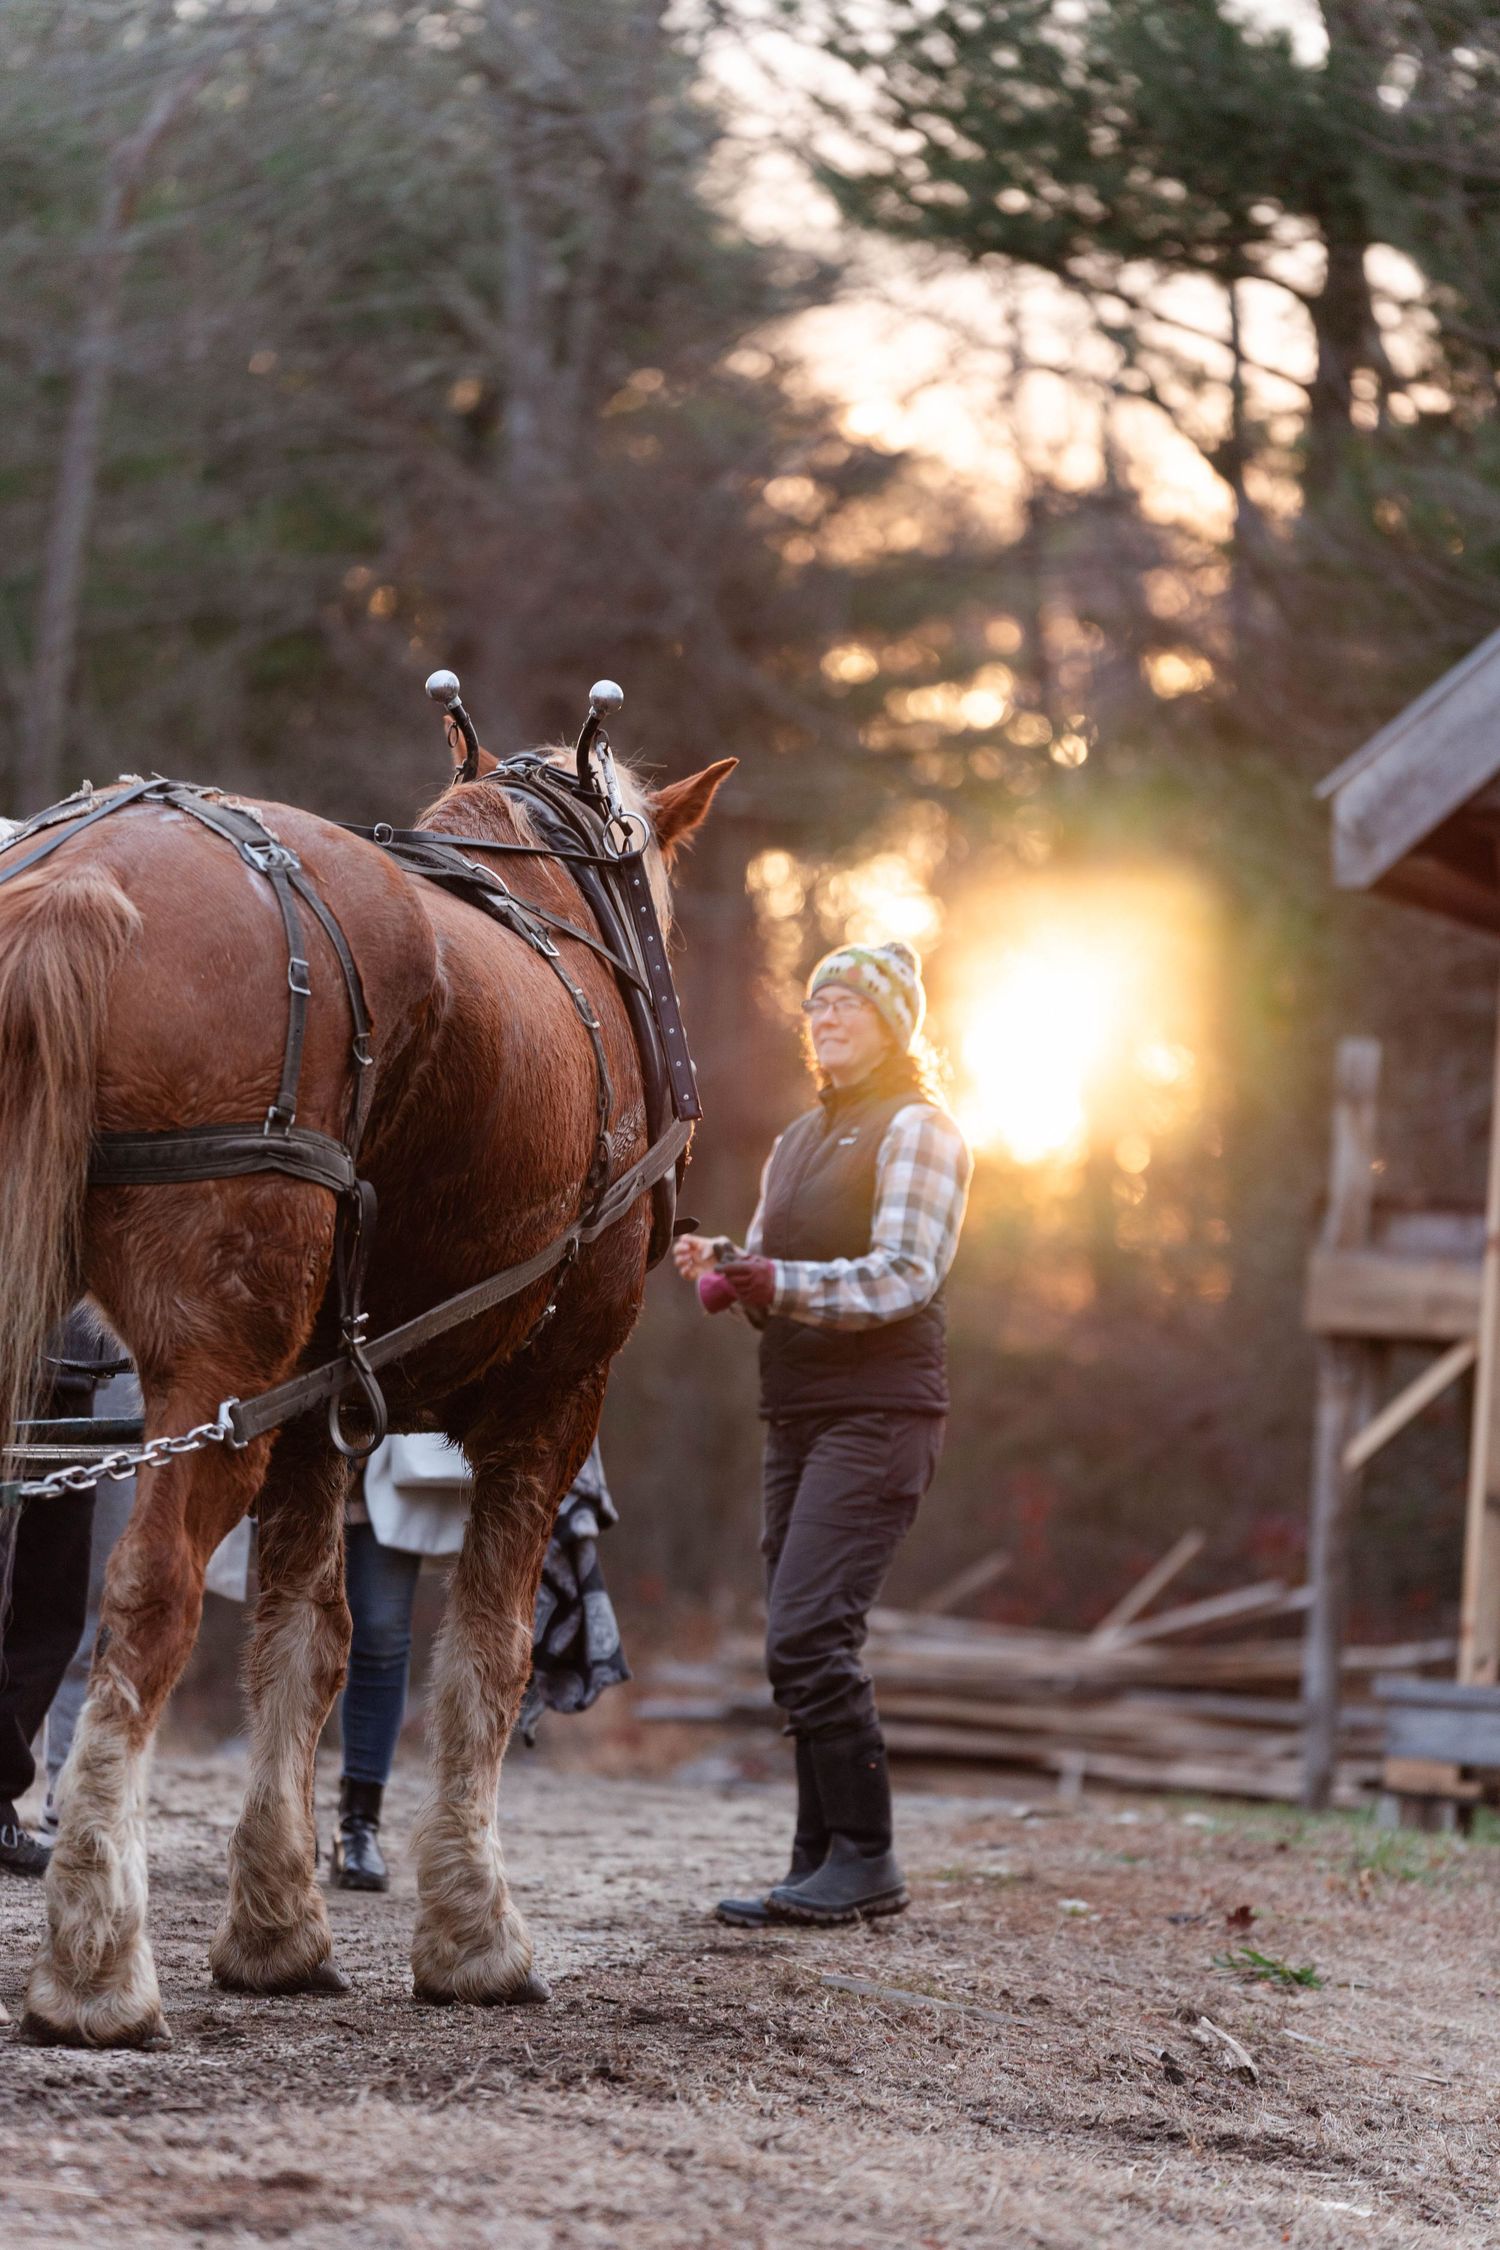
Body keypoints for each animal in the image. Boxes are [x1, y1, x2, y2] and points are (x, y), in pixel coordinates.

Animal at [0, 726, 733, 2049]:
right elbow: (486, 1656)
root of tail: (81, 877)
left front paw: (275, 1927)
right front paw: (475, 1937)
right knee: (148, 1602)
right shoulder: (554, 1399)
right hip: (217, 1380)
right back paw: (96, 1966)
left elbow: (308, 1639)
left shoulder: (316, 1409)